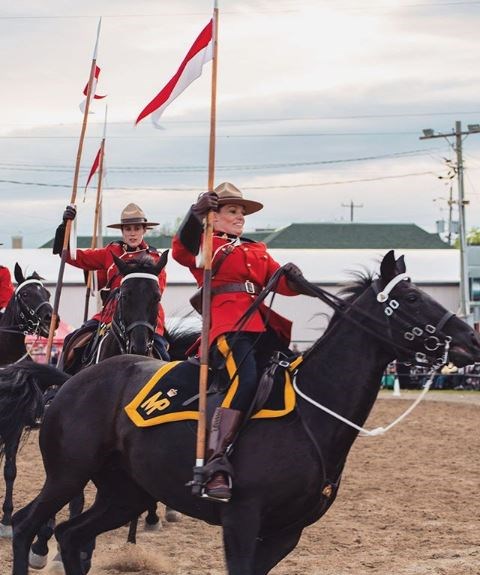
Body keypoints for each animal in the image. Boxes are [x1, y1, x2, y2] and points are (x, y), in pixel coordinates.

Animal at [10, 252, 480, 575]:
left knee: (73, 536)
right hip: (68, 475)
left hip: (125, 494)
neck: (309, 415)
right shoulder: (240, 520)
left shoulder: (285, 533)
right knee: (26, 523)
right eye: (412, 298)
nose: (470, 338)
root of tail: (69, 380)